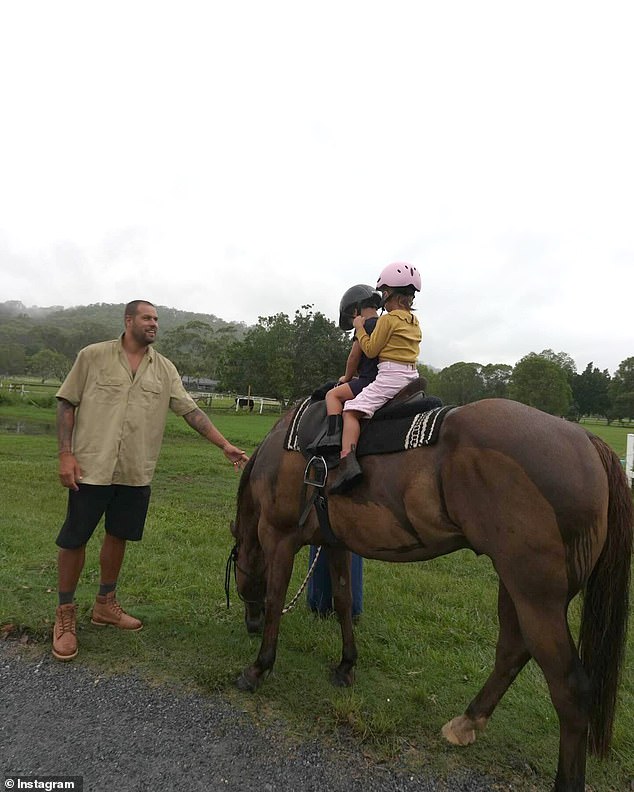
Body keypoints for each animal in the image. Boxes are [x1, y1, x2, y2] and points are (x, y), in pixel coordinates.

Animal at [230, 400, 628, 788]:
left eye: (236, 564)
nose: (250, 623)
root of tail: (585, 438)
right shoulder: (336, 543)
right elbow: (343, 601)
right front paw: (346, 665)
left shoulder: (278, 536)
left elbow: (276, 599)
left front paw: (258, 668)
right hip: (516, 586)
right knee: (513, 650)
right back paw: (467, 722)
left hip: (536, 596)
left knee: (571, 688)